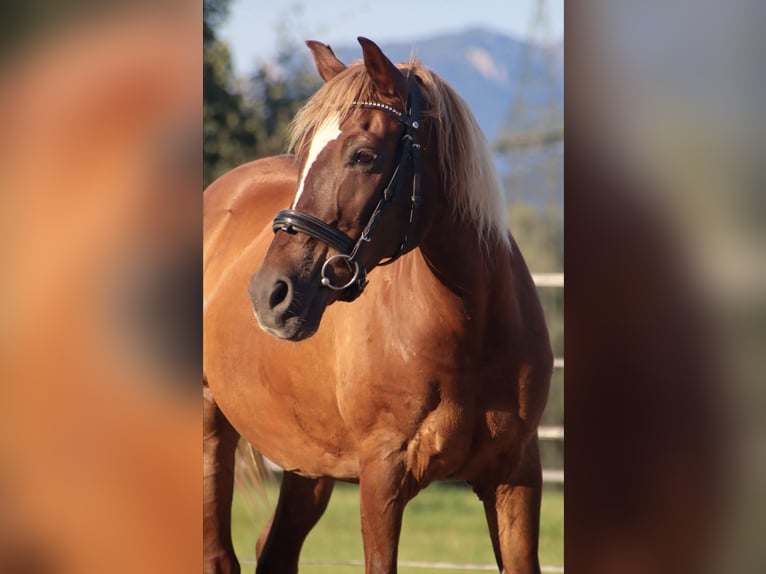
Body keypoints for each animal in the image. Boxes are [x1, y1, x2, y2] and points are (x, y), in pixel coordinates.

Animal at [203, 37, 552, 574]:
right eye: (304, 156)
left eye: (363, 155)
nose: (268, 294)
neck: (469, 328)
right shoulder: (383, 478)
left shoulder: (516, 478)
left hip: (309, 464)